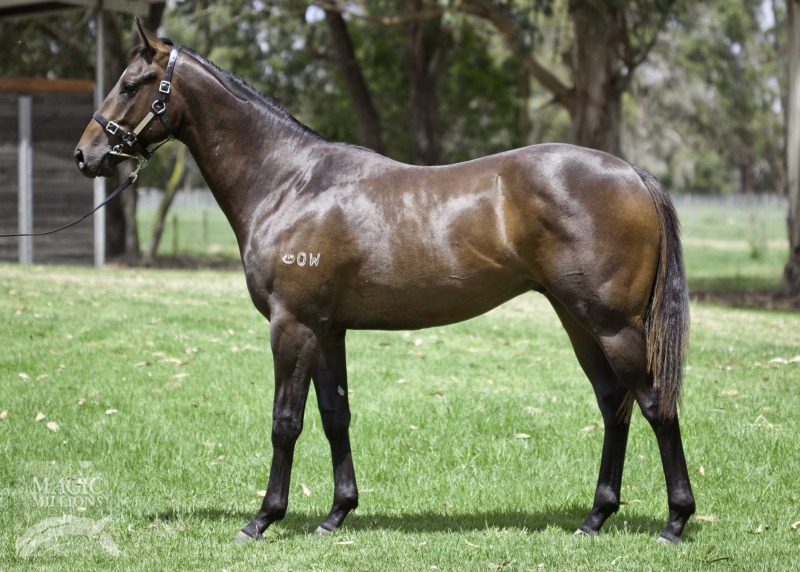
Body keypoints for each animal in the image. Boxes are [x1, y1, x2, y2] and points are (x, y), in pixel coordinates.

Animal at [74, 20, 695, 544]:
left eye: (130, 84)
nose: (86, 155)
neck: (290, 183)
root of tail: (632, 173)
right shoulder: (327, 331)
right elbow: (335, 416)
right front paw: (336, 514)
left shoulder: (292, 326)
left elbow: (285, 422)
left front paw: (263, 519)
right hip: (579, 321)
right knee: (614, 403)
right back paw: (595, 517)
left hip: (614, 326)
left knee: (654, 404)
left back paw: (675, 521)